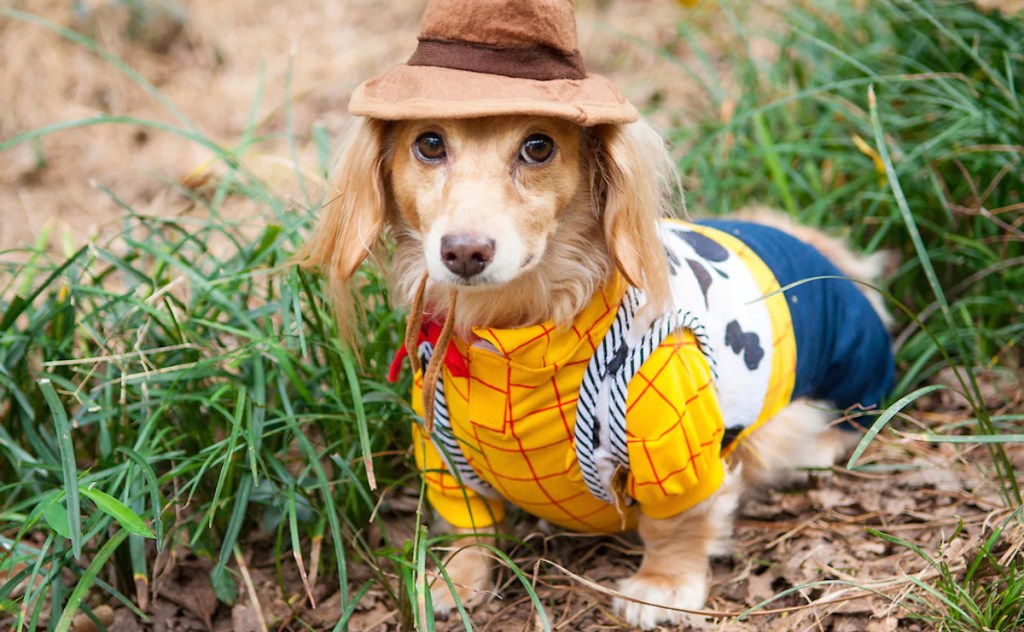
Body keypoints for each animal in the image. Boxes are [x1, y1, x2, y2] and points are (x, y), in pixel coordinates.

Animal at [299, 0, 897, 626]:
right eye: (430, 144)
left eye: (539, 146)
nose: (464, 251)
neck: (519, 339)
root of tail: (826, 255)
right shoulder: (442, 454)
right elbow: (470, 529)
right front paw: (452, 583)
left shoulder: (675, 446)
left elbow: (679, 522)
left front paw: (662, 585)